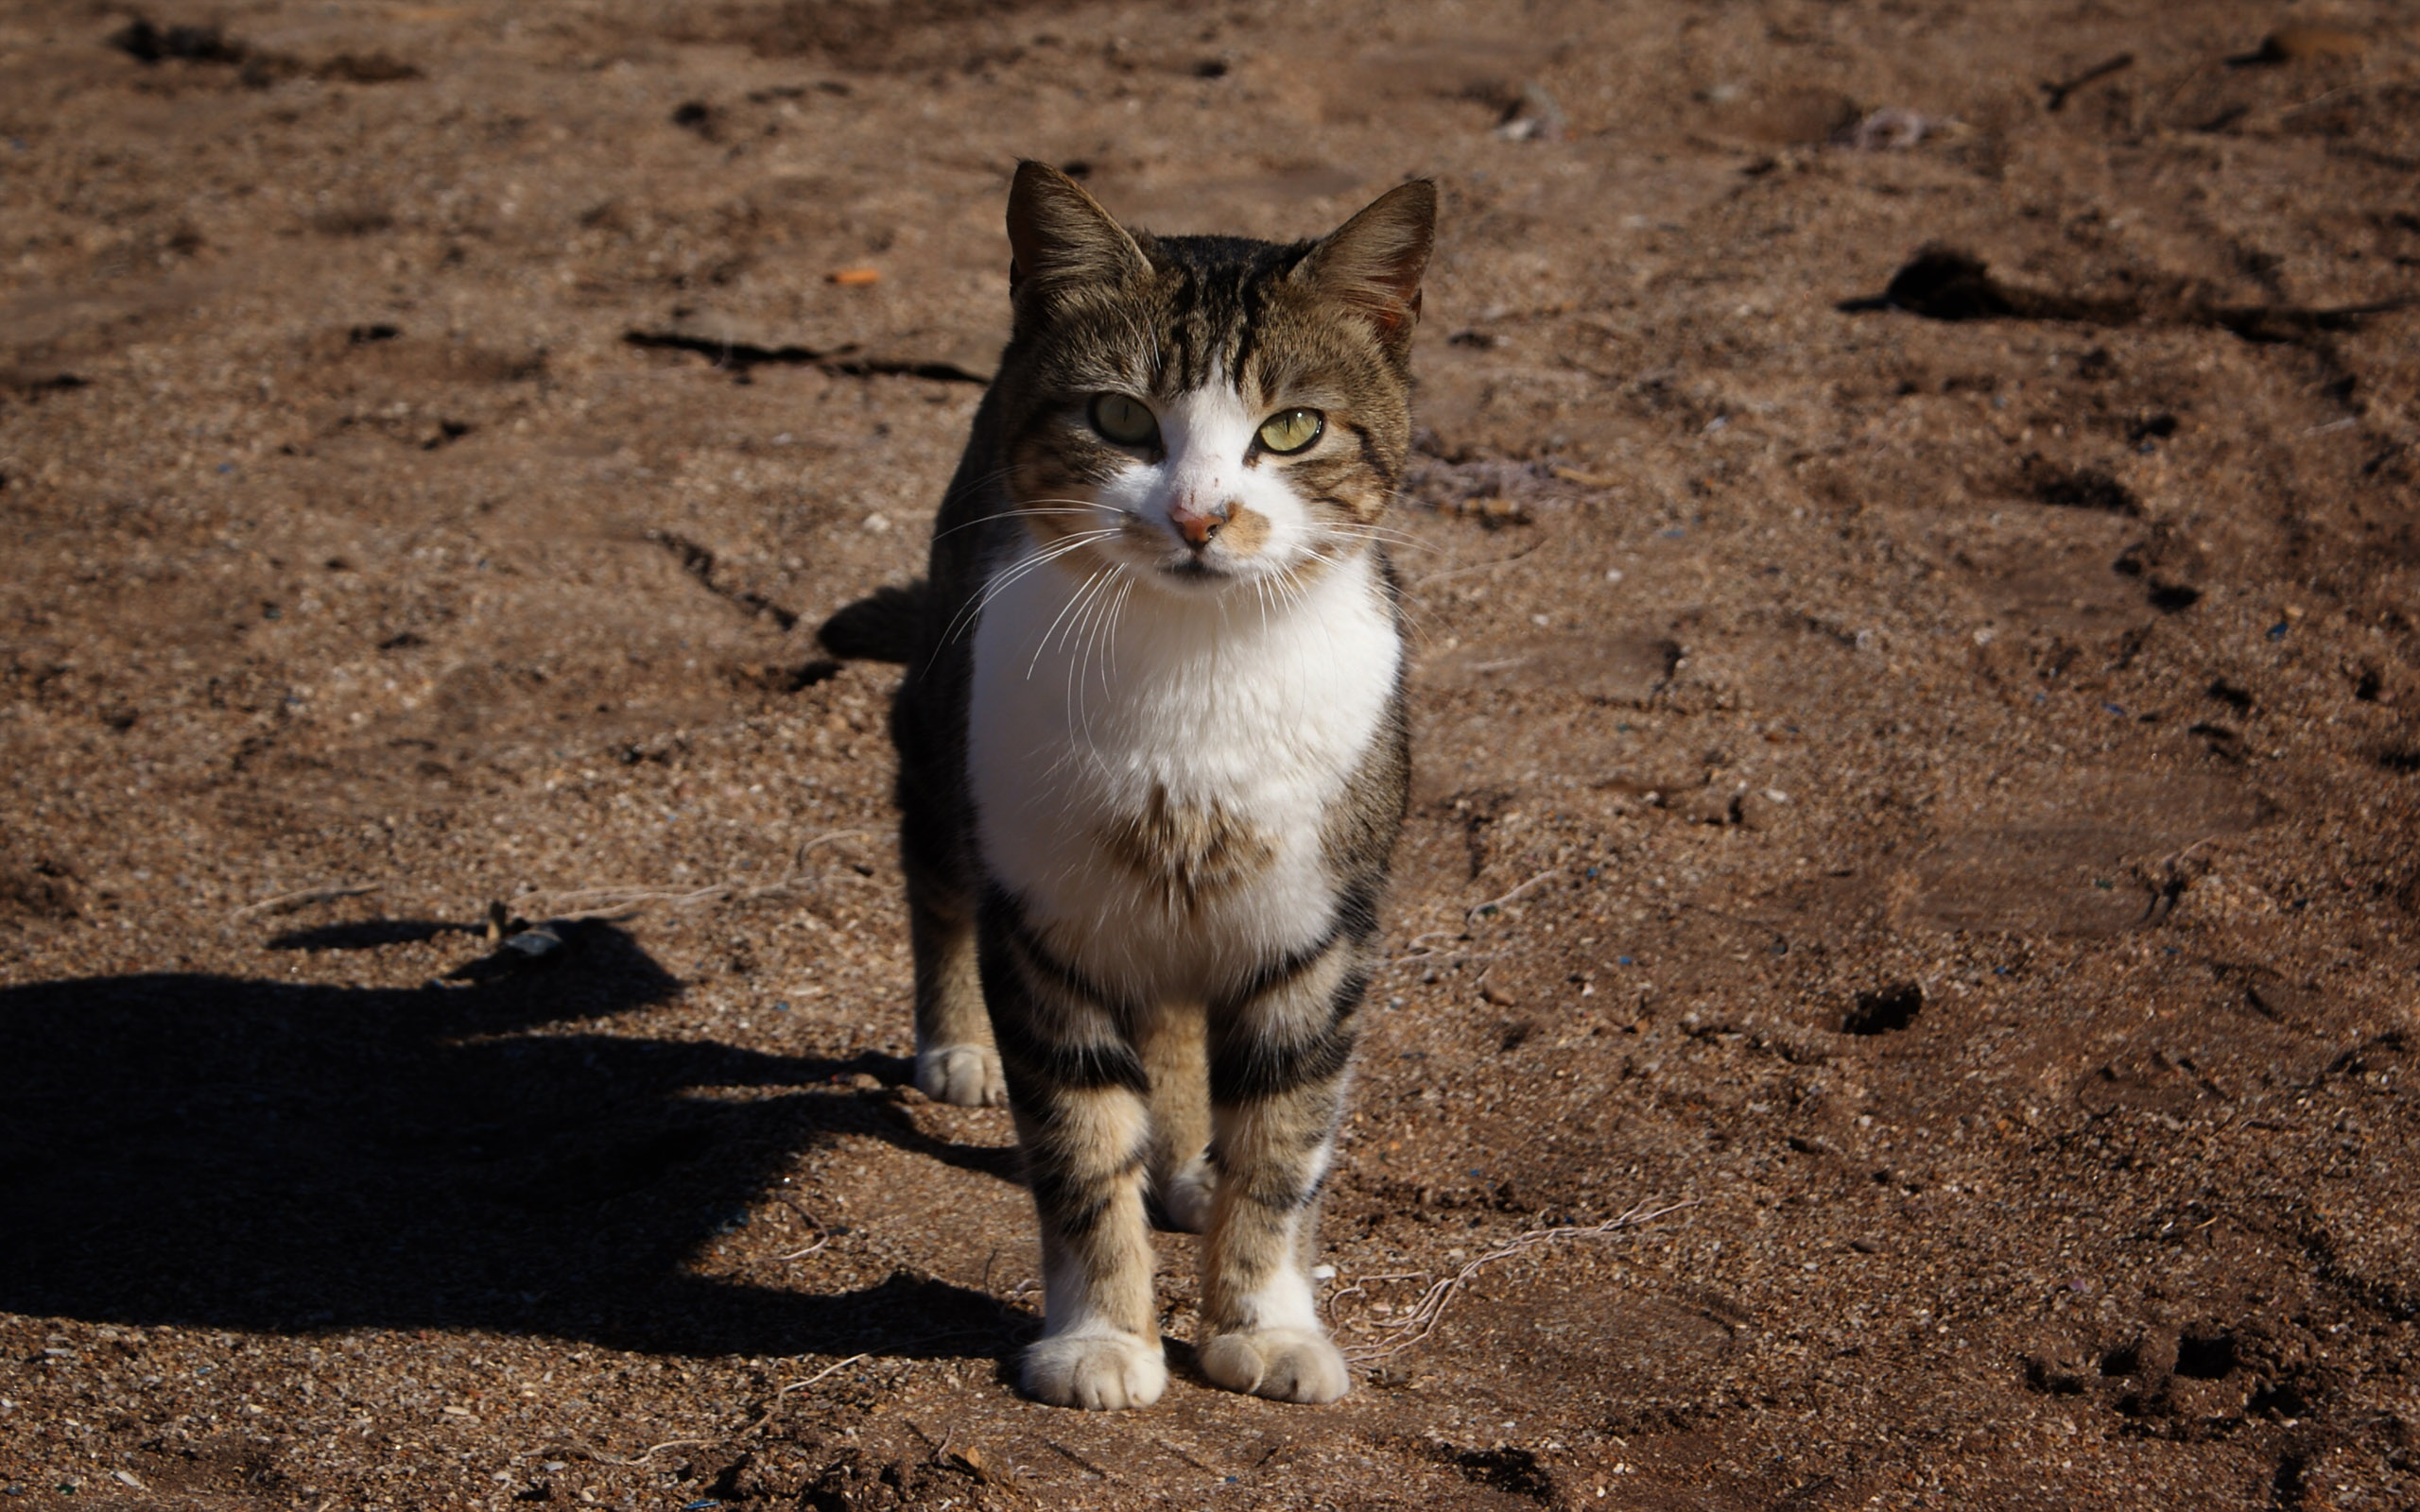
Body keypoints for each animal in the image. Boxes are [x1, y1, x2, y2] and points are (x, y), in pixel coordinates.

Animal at [832, 162, 1432, 1402]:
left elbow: (1282, 1148)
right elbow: (1077, 1150)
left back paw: (1189, 1154)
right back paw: (958, 1045)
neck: (1192, 672)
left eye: (1291, 428)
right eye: (1118, 417)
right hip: (947, 732)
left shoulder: (1314, 932)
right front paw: (1101, 1338)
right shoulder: (1045, 923)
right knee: (937, 875)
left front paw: (1263, 1320)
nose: (1200, 515)